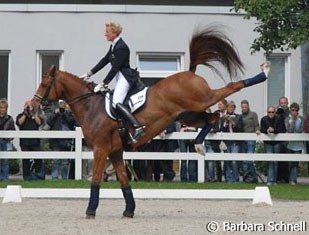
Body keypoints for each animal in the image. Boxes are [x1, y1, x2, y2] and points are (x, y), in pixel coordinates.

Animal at [30, 26, 268, 219]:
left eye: (44, 84)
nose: (33, 106)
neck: (91, 107)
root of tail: (189, 72)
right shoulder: (115, 152)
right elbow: (124, 182)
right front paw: (129, 210)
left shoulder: (101, 149)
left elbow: (96, 179)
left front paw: (90, 211)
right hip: (188, 114)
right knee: (213, 117)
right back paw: (199, 145)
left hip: (204, 99)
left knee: (230, 88)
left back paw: (264, 73)